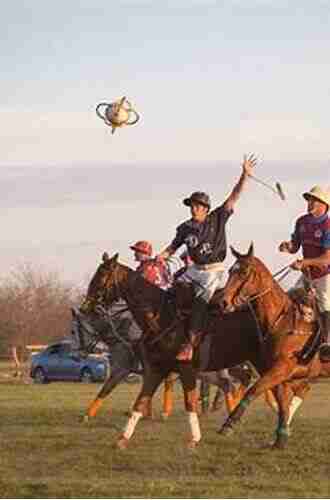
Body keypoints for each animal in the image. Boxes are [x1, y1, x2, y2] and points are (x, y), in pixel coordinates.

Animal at [217, 242, 330, 450]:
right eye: (230, 271)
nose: (223, 302)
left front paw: (229, 424)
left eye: (244, 272)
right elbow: (282, 401)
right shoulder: (278, 373)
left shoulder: (282, 368)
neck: (281, 321)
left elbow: (254, 390)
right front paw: (280, 438)